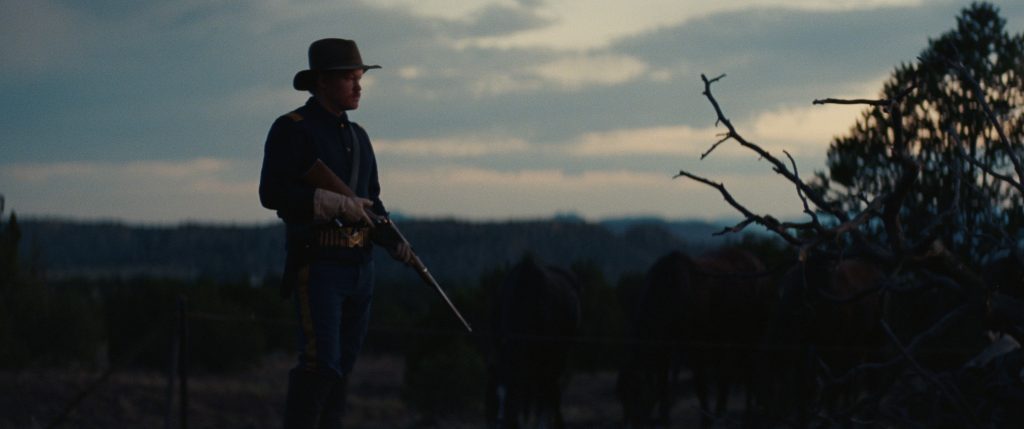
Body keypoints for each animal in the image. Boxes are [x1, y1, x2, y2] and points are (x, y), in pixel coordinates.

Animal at [487, 254, 581, 429]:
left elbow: (540, 395)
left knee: (551, 389)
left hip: (560, 356)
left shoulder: (544, 357)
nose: (500, 423)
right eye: (490, 403)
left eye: (510, 404)